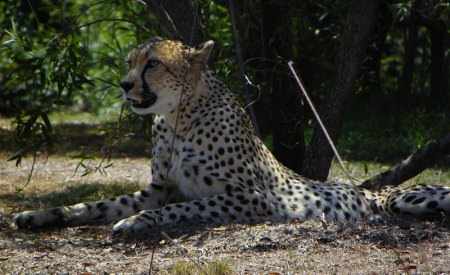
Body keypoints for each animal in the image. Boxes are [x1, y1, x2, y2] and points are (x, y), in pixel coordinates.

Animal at [13, 38, 450, 237]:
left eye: (152, 64)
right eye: (130, 62)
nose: (123, 85)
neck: (177, 118)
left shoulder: (253, 197)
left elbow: (182, 208)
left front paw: (137, 221)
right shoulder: (157, 188)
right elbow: (93, 204)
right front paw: (40, 215)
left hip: (407, 198)